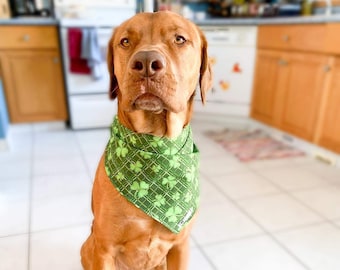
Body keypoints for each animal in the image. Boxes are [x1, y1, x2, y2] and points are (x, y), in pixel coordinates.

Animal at [80, 11, 211, 270]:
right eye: (125, 41)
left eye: (180, 39)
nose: (147, 62)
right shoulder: (104, 249)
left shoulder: (180, 245)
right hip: (88, 246)